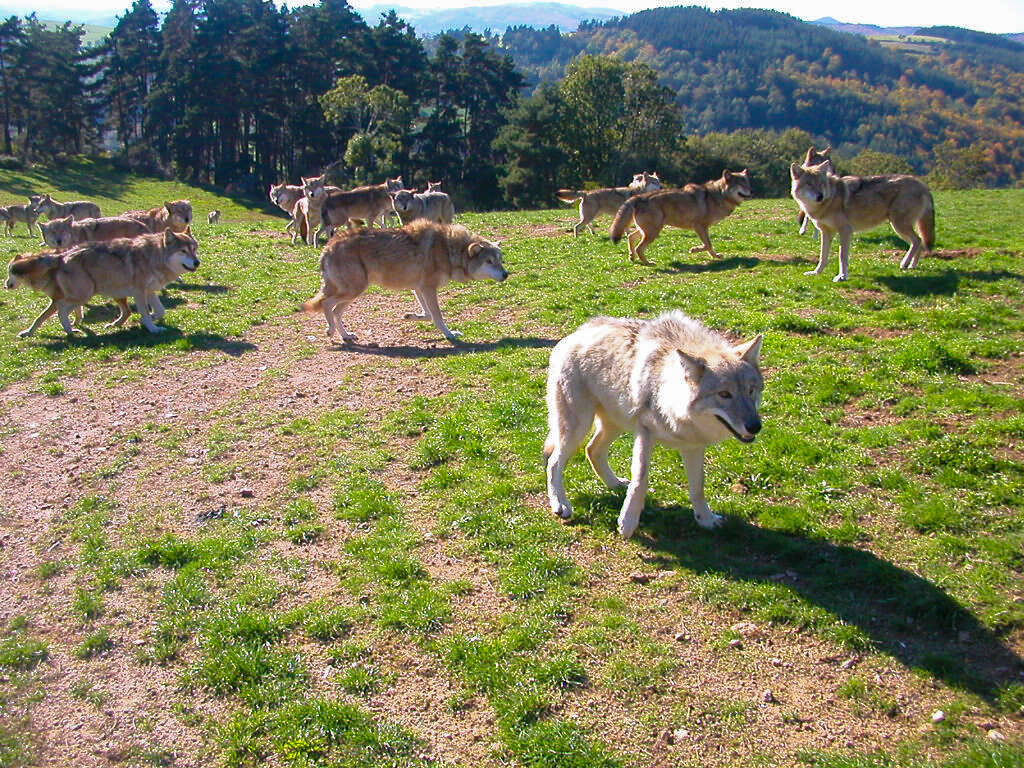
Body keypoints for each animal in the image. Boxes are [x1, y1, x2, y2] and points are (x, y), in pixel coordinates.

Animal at [6, 230, 199, 335]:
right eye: (183, 251)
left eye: (194, 250)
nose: (197, 262)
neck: (154, 256)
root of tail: (62, 256)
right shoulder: (139, 292)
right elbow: (145, 313)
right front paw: (152, 328)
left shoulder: (149, 291)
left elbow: (160, 310)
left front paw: (152, 320)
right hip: (86, 294)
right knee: (61, 310)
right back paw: (69, 330)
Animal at [303, 219, 512, 346]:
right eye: (489, 261)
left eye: (500, 260)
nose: (506, 274)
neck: (448, 249)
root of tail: (328, 246)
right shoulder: (428, 288)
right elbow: (437, 316)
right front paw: (450, 334)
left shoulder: (418, 288)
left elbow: (427, 315)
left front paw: (410, 316)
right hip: (354, 290)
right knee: (326, 304)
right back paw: (331, 331)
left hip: (354, 292)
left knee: (335, 311)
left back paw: (346, 336)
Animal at [544, 311, 761, 540]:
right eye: (724, 394)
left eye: (751, 390)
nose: (755, 426)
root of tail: (574, 334)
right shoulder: (644, 433)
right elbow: (640, 480)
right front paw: (628, 523)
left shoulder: (693, 445)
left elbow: (698, 486)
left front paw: (706, 520)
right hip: (577, 428)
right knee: (554, 461)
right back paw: (560, 504)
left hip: (616, 424)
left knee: (592, 450)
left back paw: (615, 485)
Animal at [606, 169, 753, 266]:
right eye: (741, 184)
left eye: (748, 184)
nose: (751, 192)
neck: (719, 195)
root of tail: (638, 197)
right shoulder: (700, 226)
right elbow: (708, 245)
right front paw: (694, 250)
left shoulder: (702, 228)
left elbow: (709, 246)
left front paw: (715, 256)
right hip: (653, 232)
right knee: (639, 247)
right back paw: (649, 263)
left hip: (648, 230)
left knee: (631, 237)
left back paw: (632, 257)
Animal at [790, 162, 937, 282]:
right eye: (809, 184)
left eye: (821, 183)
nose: (820, 196)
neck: (829, 200)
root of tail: (923, 185)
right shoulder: (826, 233)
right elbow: (823, 256)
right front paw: (816, 272)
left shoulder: (845, 231)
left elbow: (842, 256)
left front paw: (842, 276)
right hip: (900, 227)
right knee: (918, 241)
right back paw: (912, 265)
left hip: (899, 226)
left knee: (917, 240)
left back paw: (905, 264)